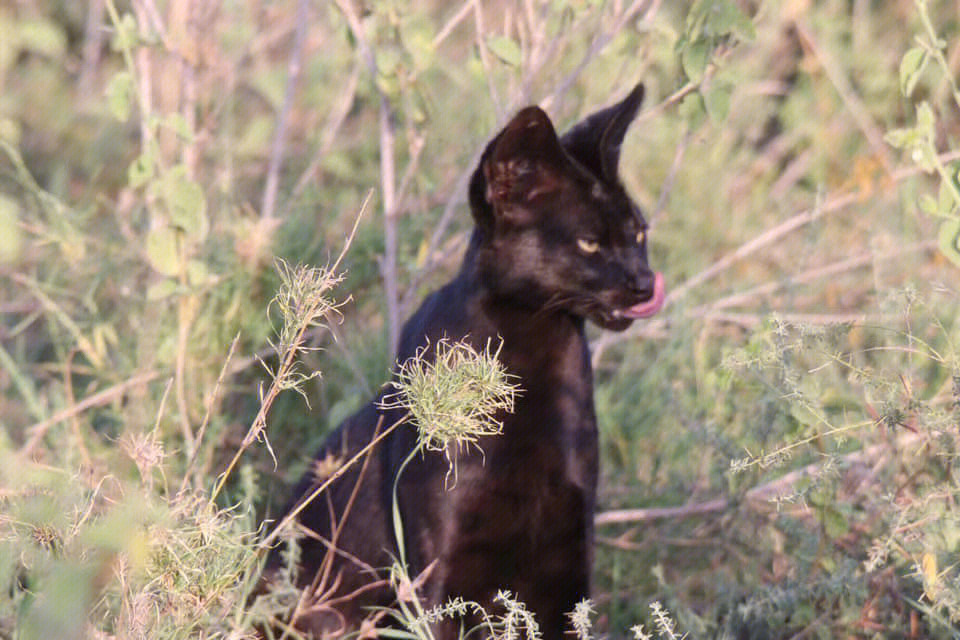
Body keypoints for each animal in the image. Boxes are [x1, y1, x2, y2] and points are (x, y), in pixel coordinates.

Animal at [266, 84, 664, 636]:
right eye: (589, 241)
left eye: (639, 234)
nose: (644, 282)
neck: (531, 362)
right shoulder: (437, 568)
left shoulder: (569, 555)